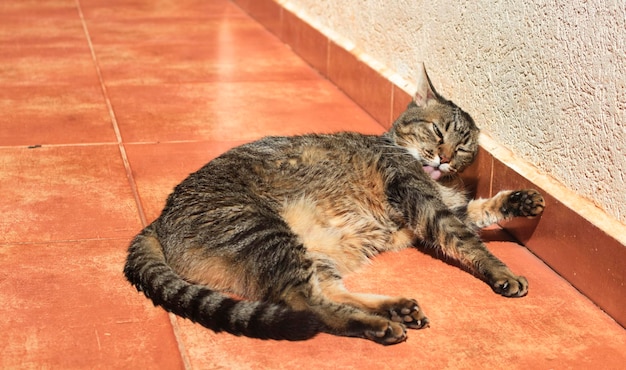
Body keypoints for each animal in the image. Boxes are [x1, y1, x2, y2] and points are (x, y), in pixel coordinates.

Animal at [122, 63, 540, 344]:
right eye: (437, 131)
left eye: (464, 147)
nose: (445, 158)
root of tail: (158, 220)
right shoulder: (424, 203)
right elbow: (468, 240)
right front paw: (503, 272)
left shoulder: (441, 207)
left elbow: (479, 211)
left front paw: (520, 200)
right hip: (263, 231)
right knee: (307, 304)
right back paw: (381, 324)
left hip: (311, 252)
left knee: (327, 292)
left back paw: (395, 308)